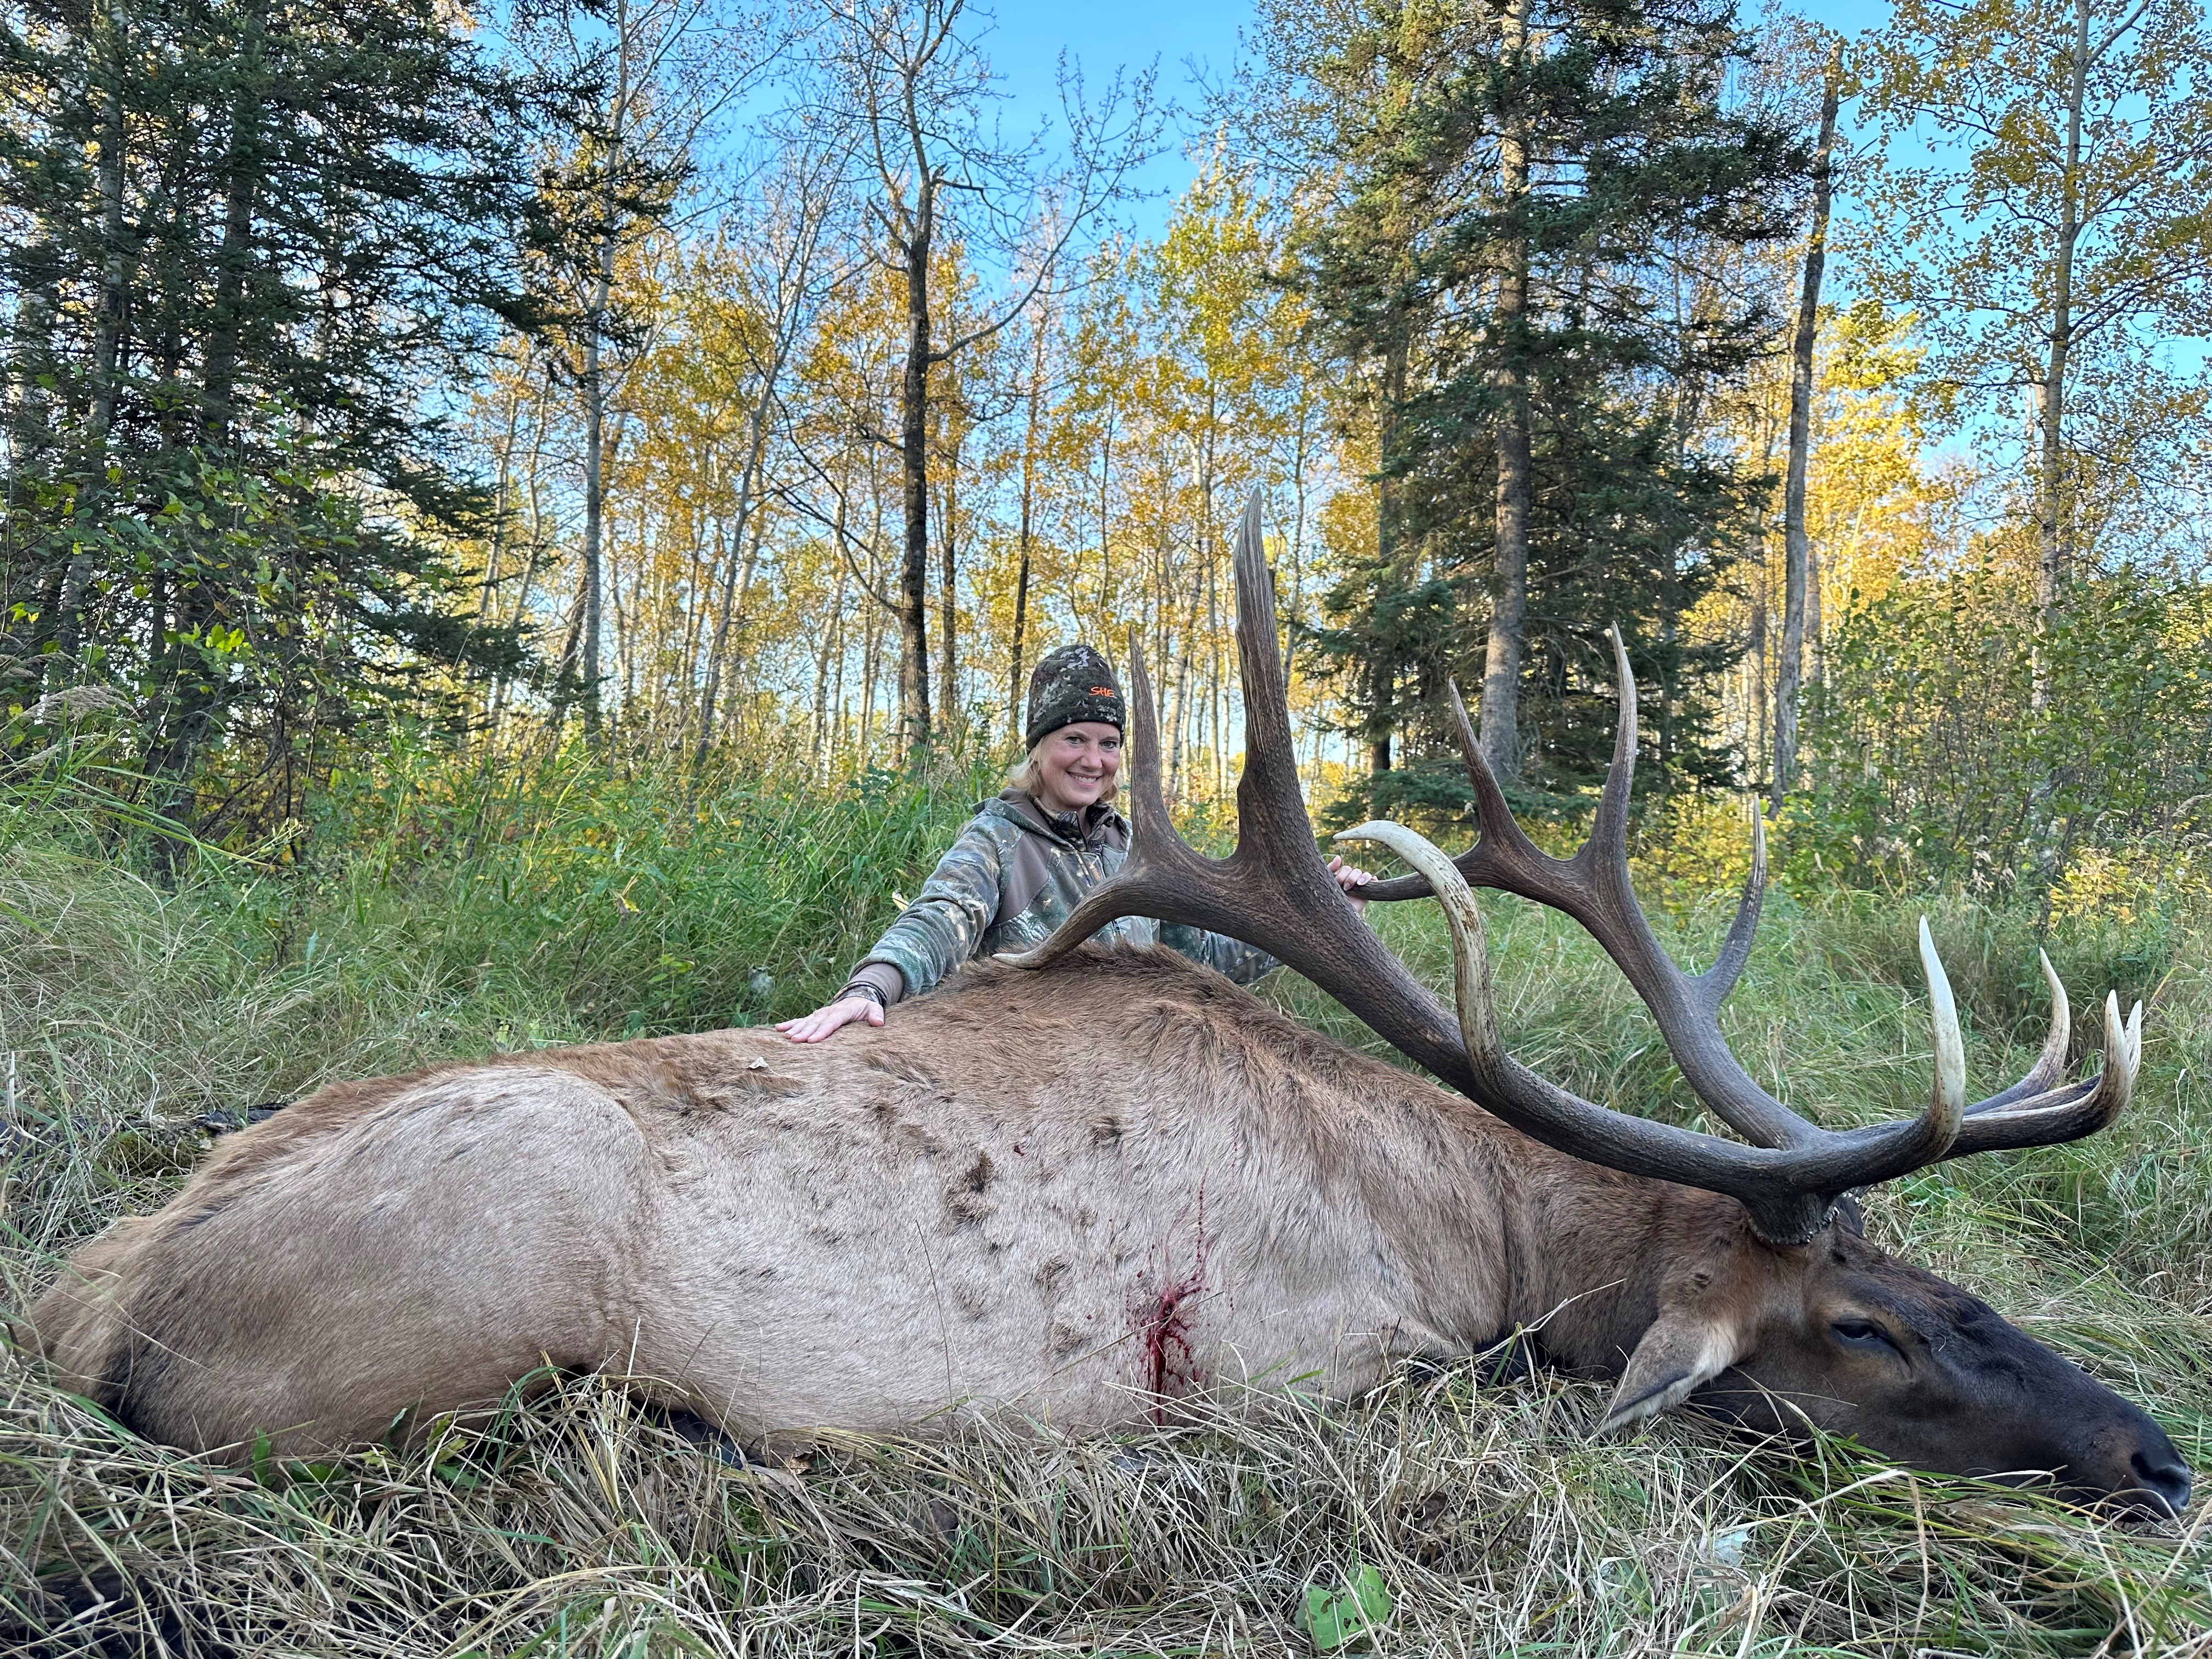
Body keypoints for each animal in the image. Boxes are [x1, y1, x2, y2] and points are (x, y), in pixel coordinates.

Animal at [19, 498, 2187, 1520]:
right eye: (1861, 1320)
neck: (1488, 1228)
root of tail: (81, 1303)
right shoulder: (1328, 1356)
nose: (2162, 1455)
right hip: (444, 1313)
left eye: (1937, 1271)